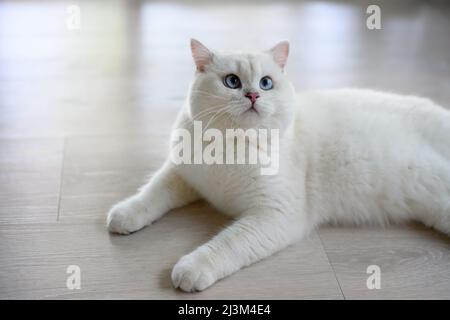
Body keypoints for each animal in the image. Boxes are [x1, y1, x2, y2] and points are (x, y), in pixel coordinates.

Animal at [106, 39, 450, 292]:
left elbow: (227, 244)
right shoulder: (182, 175)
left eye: (266, 83)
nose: (253, 95)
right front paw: (124, 215)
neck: (231, 146)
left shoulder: (275, 214)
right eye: (232, 81)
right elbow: (150, 194)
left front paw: (191, 269)